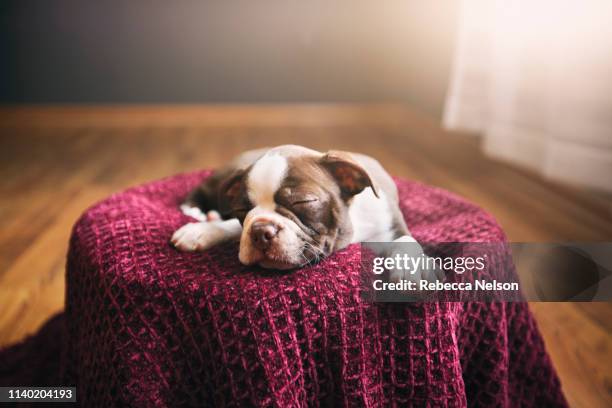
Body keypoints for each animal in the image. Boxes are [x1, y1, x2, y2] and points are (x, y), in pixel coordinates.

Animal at [170, 145, 424, 276]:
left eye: (303, 202)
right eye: (241, 209)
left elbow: (406, 240)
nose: (260, 231)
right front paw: (202, 231)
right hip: (221, 179)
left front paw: (413, 271)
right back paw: (196, 211)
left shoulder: (391, 225)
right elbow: (232, 225)